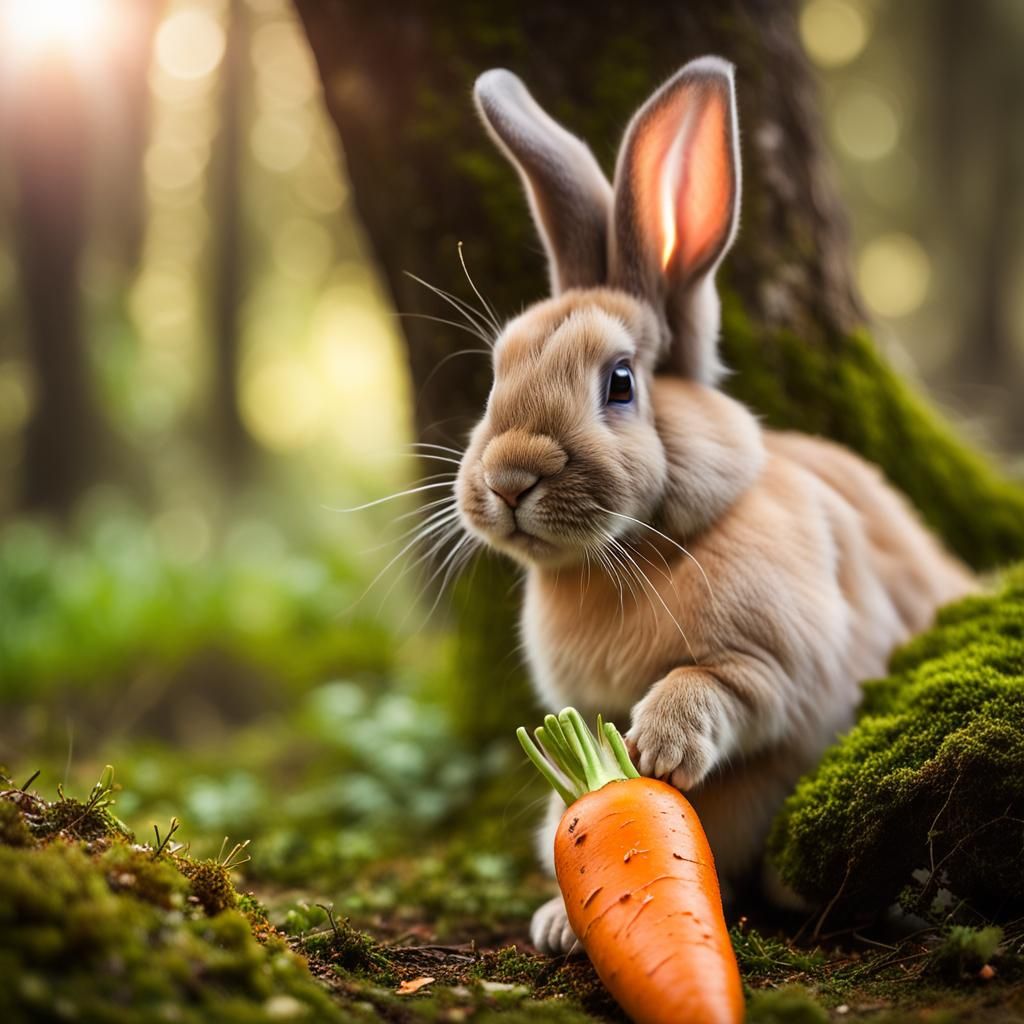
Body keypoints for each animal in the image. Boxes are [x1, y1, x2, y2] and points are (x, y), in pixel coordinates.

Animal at [452, 58, 977, 955]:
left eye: (619, 383)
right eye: (497, 374)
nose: (510, 477)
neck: (635, 550)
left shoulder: (788, 670)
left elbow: (717, 683)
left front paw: (660, 754)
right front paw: (560, 919)